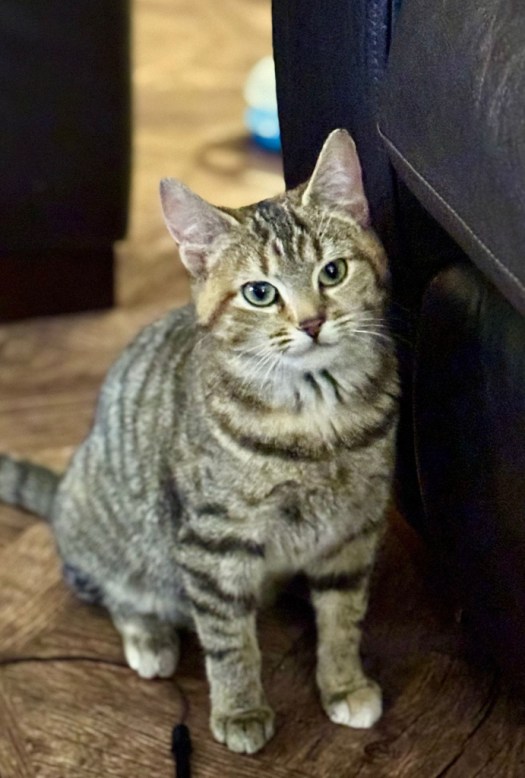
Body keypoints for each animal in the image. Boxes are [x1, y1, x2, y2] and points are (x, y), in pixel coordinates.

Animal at [0, 129, 399, 754]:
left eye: (332, 272)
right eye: (260, 293)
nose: (312, 323)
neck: (317, 417)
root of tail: (65, 489)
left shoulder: (353, 530)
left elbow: (343, 616)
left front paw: (343, 682)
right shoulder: (213, 543)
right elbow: (229, 640)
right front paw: (240, 709)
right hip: (127, 543)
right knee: (115, 590)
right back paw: (149, 636)